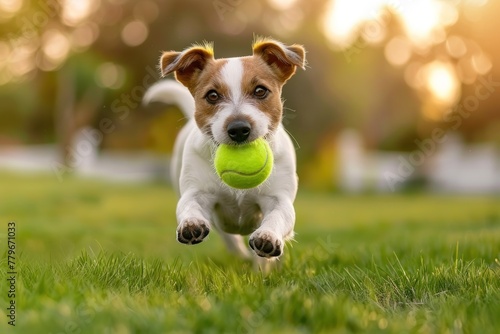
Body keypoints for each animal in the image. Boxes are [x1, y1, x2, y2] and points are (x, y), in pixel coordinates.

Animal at [144, 37, 304, 268]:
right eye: (212, 95)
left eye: (260, 91)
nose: (238, 128)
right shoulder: (197, 192)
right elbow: (189, 205)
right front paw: (191, 223)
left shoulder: (278, 198)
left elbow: (277, 216)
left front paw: (267, 237)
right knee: (230, 240)